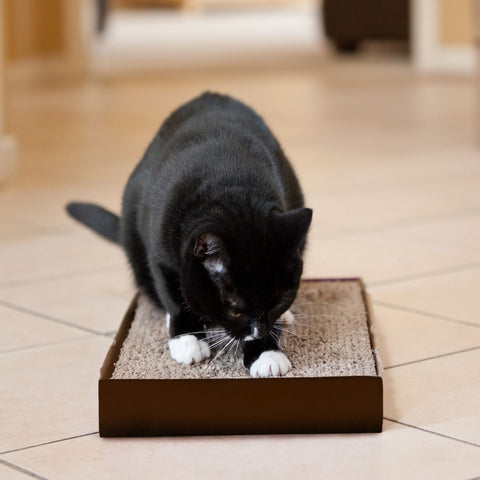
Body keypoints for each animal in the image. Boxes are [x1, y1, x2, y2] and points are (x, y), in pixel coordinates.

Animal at [68, 92, 316, 376]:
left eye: (277, 301)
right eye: (235, 310)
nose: (257, 333)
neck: (230, 185)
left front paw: (267, 353)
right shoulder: (160, 251)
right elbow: (172, 290)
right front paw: (187, 339)